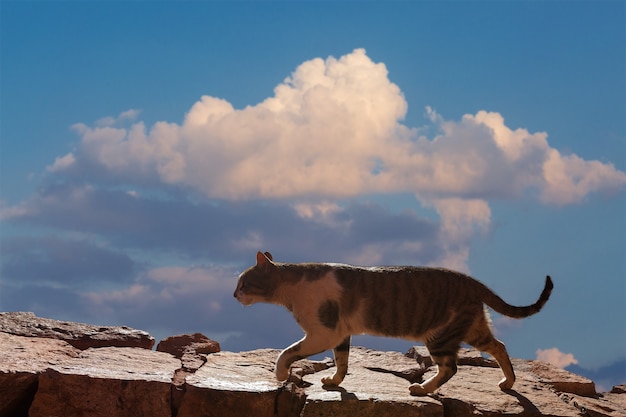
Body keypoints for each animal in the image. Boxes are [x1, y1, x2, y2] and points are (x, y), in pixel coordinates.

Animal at [234, 250, 552, 394]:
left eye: (243, 282)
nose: (234, 294)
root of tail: (473, 282)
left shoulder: (322, 332)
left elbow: (286, 353)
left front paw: (280, 375)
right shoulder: (340, 334)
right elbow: (342, 362)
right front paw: (334, 382)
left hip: (440, 335)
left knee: (450, 367)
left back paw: (423, 389)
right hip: (472, 328)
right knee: (499, 346)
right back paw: (508, 382)